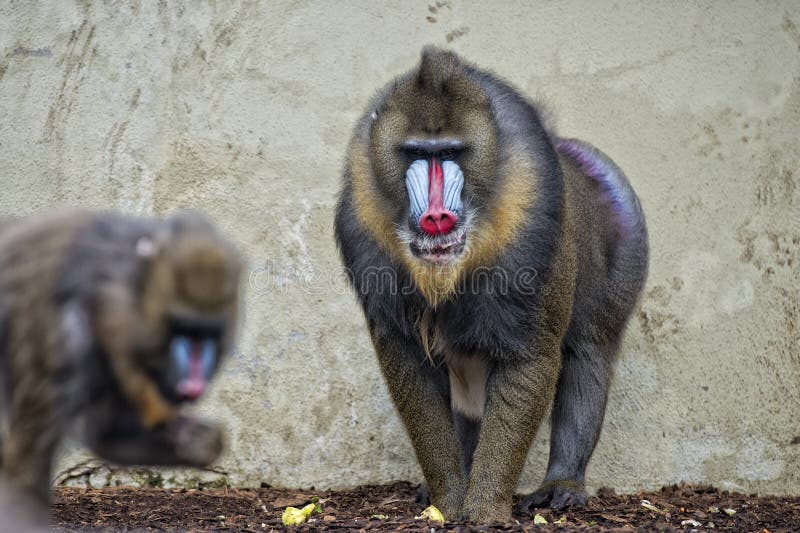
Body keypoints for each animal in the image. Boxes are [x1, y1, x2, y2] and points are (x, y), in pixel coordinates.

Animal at [334, 47, 648, 523]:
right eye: (415, 153)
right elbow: (415, 379)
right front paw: (449, 500)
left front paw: (484, 510)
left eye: (452, 151)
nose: (437, 216)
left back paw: (562, 485)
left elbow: (530, 364)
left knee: (589, 353)